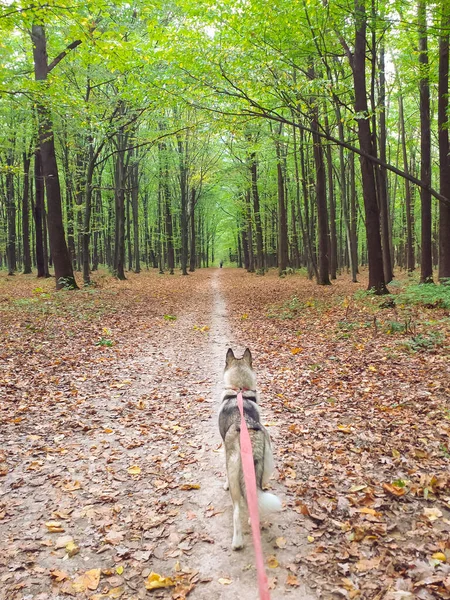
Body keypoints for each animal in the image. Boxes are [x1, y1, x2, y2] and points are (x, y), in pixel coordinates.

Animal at [218, 346, 282, 548]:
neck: (239, 390)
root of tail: (251, 436)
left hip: (236, 475)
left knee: (237, 510)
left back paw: (237, 542)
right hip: (267, 465)